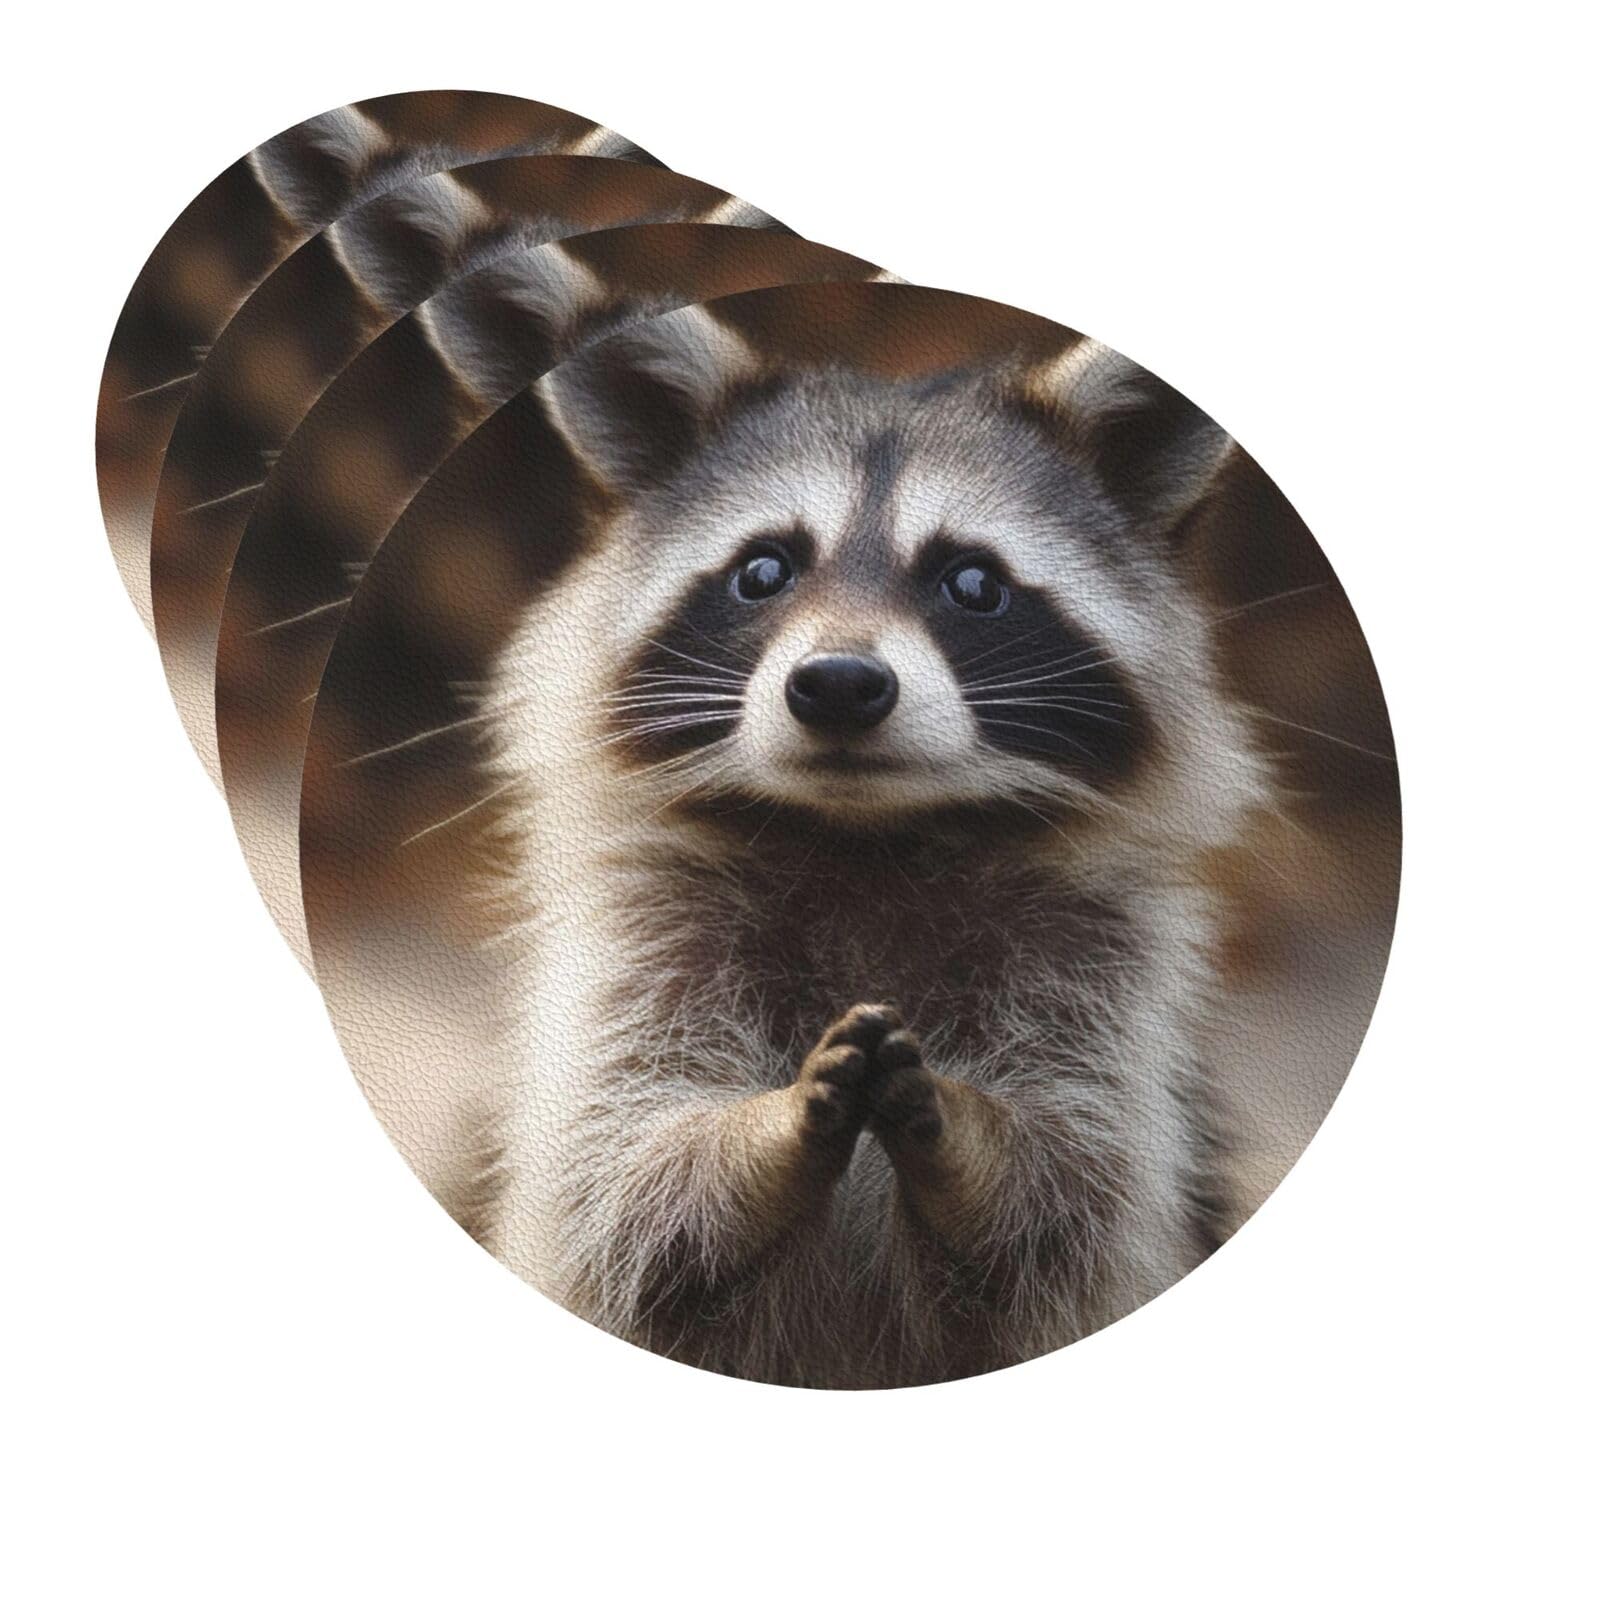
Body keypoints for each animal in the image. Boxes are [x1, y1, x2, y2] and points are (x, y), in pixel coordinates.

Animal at [482, 305, 1273, 1386]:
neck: (869, 837)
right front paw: (756, 1139)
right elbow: (624, 1172)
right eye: (763, 570)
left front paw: (973, 1140)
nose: (840, 684)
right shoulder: (645, 939)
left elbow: (1073, 1187)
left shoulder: (1100, 971)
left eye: (973, 581)